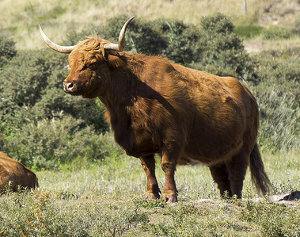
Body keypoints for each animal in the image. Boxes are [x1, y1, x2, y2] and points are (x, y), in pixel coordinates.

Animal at [39, 17, 272, 202]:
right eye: (71, 62)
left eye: (92, 62)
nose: (68, 85)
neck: (130, 97)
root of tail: (247, 93)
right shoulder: (141, 142)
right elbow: (148, 168)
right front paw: (151, 194)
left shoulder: (172, 138)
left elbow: (167, 166)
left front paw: (170, 195)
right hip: (217, 153)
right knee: (221, 177)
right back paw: (225, 198)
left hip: (243, 148)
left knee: (237, 173)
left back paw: (236, 198)